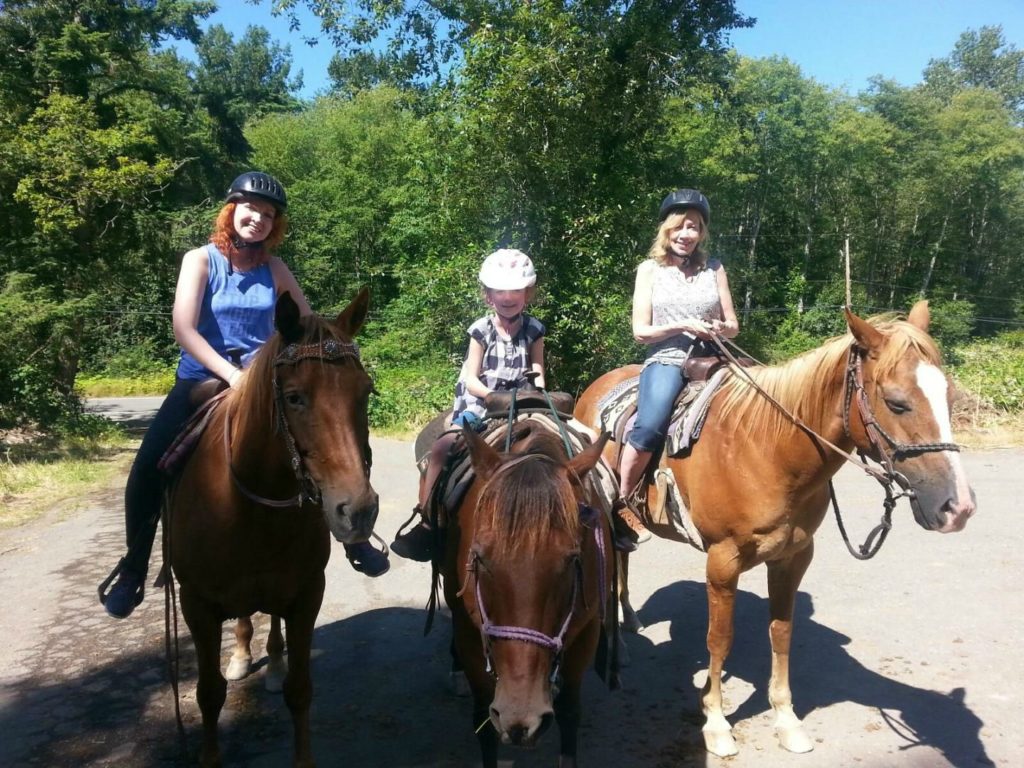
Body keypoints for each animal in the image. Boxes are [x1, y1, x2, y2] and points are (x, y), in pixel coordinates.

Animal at [165, 290, 378, 768]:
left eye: (366, 393)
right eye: (295, 398)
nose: (357, 511)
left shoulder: (306, 595)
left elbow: (299, 690)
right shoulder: (196, 605)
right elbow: (209, 694)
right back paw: (242, 656)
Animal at [446, 423, 614, 768]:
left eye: (572, 560)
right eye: (479, 558)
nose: (522, 718)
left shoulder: (586, 632)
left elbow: (569, 713)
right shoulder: (468, 632)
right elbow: (484, 721)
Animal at [573, 301, 978, 757]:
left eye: (948, 395)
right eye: (896, 402)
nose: (958, 507)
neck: (767, 449)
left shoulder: (794, 557)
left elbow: (781, 633)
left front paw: (787, 720)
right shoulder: (722, 561)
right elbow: (720, 639)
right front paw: (717, 723)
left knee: (622, 562)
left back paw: (629, 620)